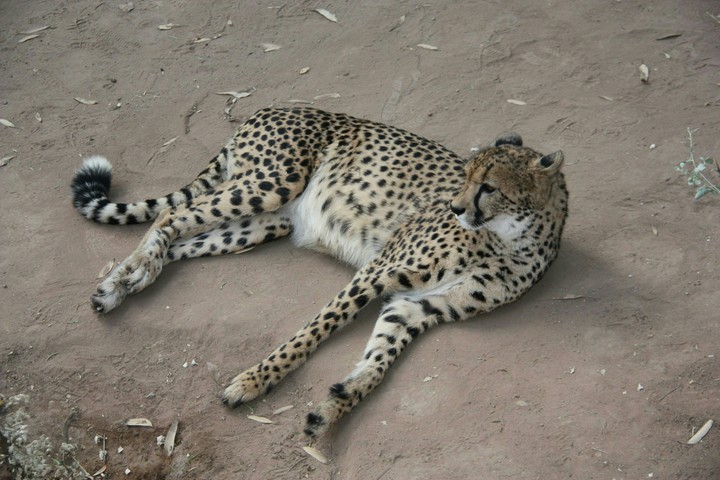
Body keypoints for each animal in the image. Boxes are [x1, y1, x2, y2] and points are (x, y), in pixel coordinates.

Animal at [71, 107, 568, 437]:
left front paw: (335, 404)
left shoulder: (418, 306)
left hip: (263, 224)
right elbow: (313, 331)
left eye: (489, 187)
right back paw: (127, 277)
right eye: (464, 177)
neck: (513, 235)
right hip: (270, 185)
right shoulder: (377, 271)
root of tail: (274, 106)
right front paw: (253, 381)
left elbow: (378, 361)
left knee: (180, 239)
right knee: (169, 216)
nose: (455, 207)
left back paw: (122, 281)